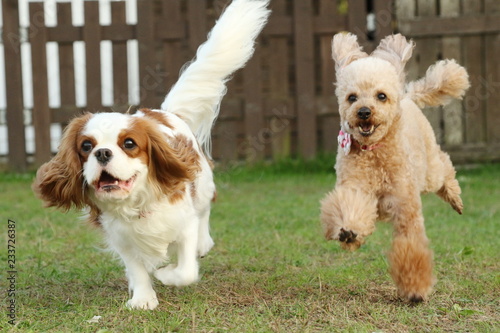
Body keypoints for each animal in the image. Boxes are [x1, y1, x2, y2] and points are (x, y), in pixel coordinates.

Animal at [32, 0, 270, 308]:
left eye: (129, 143)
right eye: (86, 146)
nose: (102, 153)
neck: (136, 204)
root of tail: (164, 112)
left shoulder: (184, 225)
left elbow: (186, 270)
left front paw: (166, 274)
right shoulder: (122, 239)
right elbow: (137, 268)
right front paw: (143, 298)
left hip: (203, 183)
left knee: (205, 209)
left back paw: (203, 243)